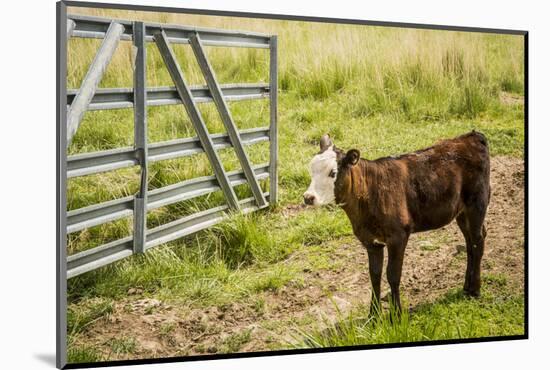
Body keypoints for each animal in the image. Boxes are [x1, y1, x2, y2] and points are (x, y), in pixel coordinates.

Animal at [306, 132, 492, 314]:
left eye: (332, 172)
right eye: (311, 169)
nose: (308, 197)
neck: (370, 192)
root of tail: (472, 136)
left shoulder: (398, 236)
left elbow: (393, 275)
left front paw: (396, 315)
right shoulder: (370, 241)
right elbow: (374, 275)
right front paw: (373, 315)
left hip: (477, 203)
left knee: (478, 241)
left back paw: (475, 290)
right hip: (461, 212)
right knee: (469, 242)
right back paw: (467, 287)